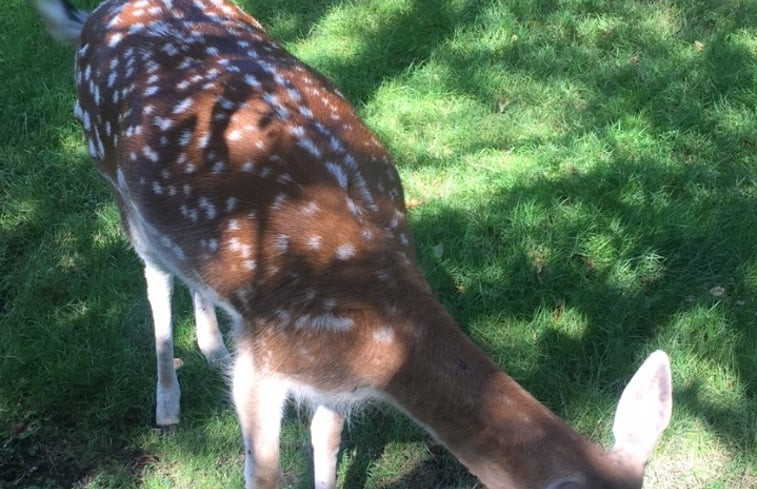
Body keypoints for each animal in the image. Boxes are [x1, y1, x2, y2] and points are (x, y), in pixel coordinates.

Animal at [32, 0, 672, 488]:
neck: (378, 339)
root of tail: (97, 14)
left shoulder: (329, 382)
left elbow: (328, 442)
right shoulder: (264, 362)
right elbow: (263, 471)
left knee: (190, 274)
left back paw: (212, 346)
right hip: (114, 182)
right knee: (153, 276)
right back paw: (167, 403)